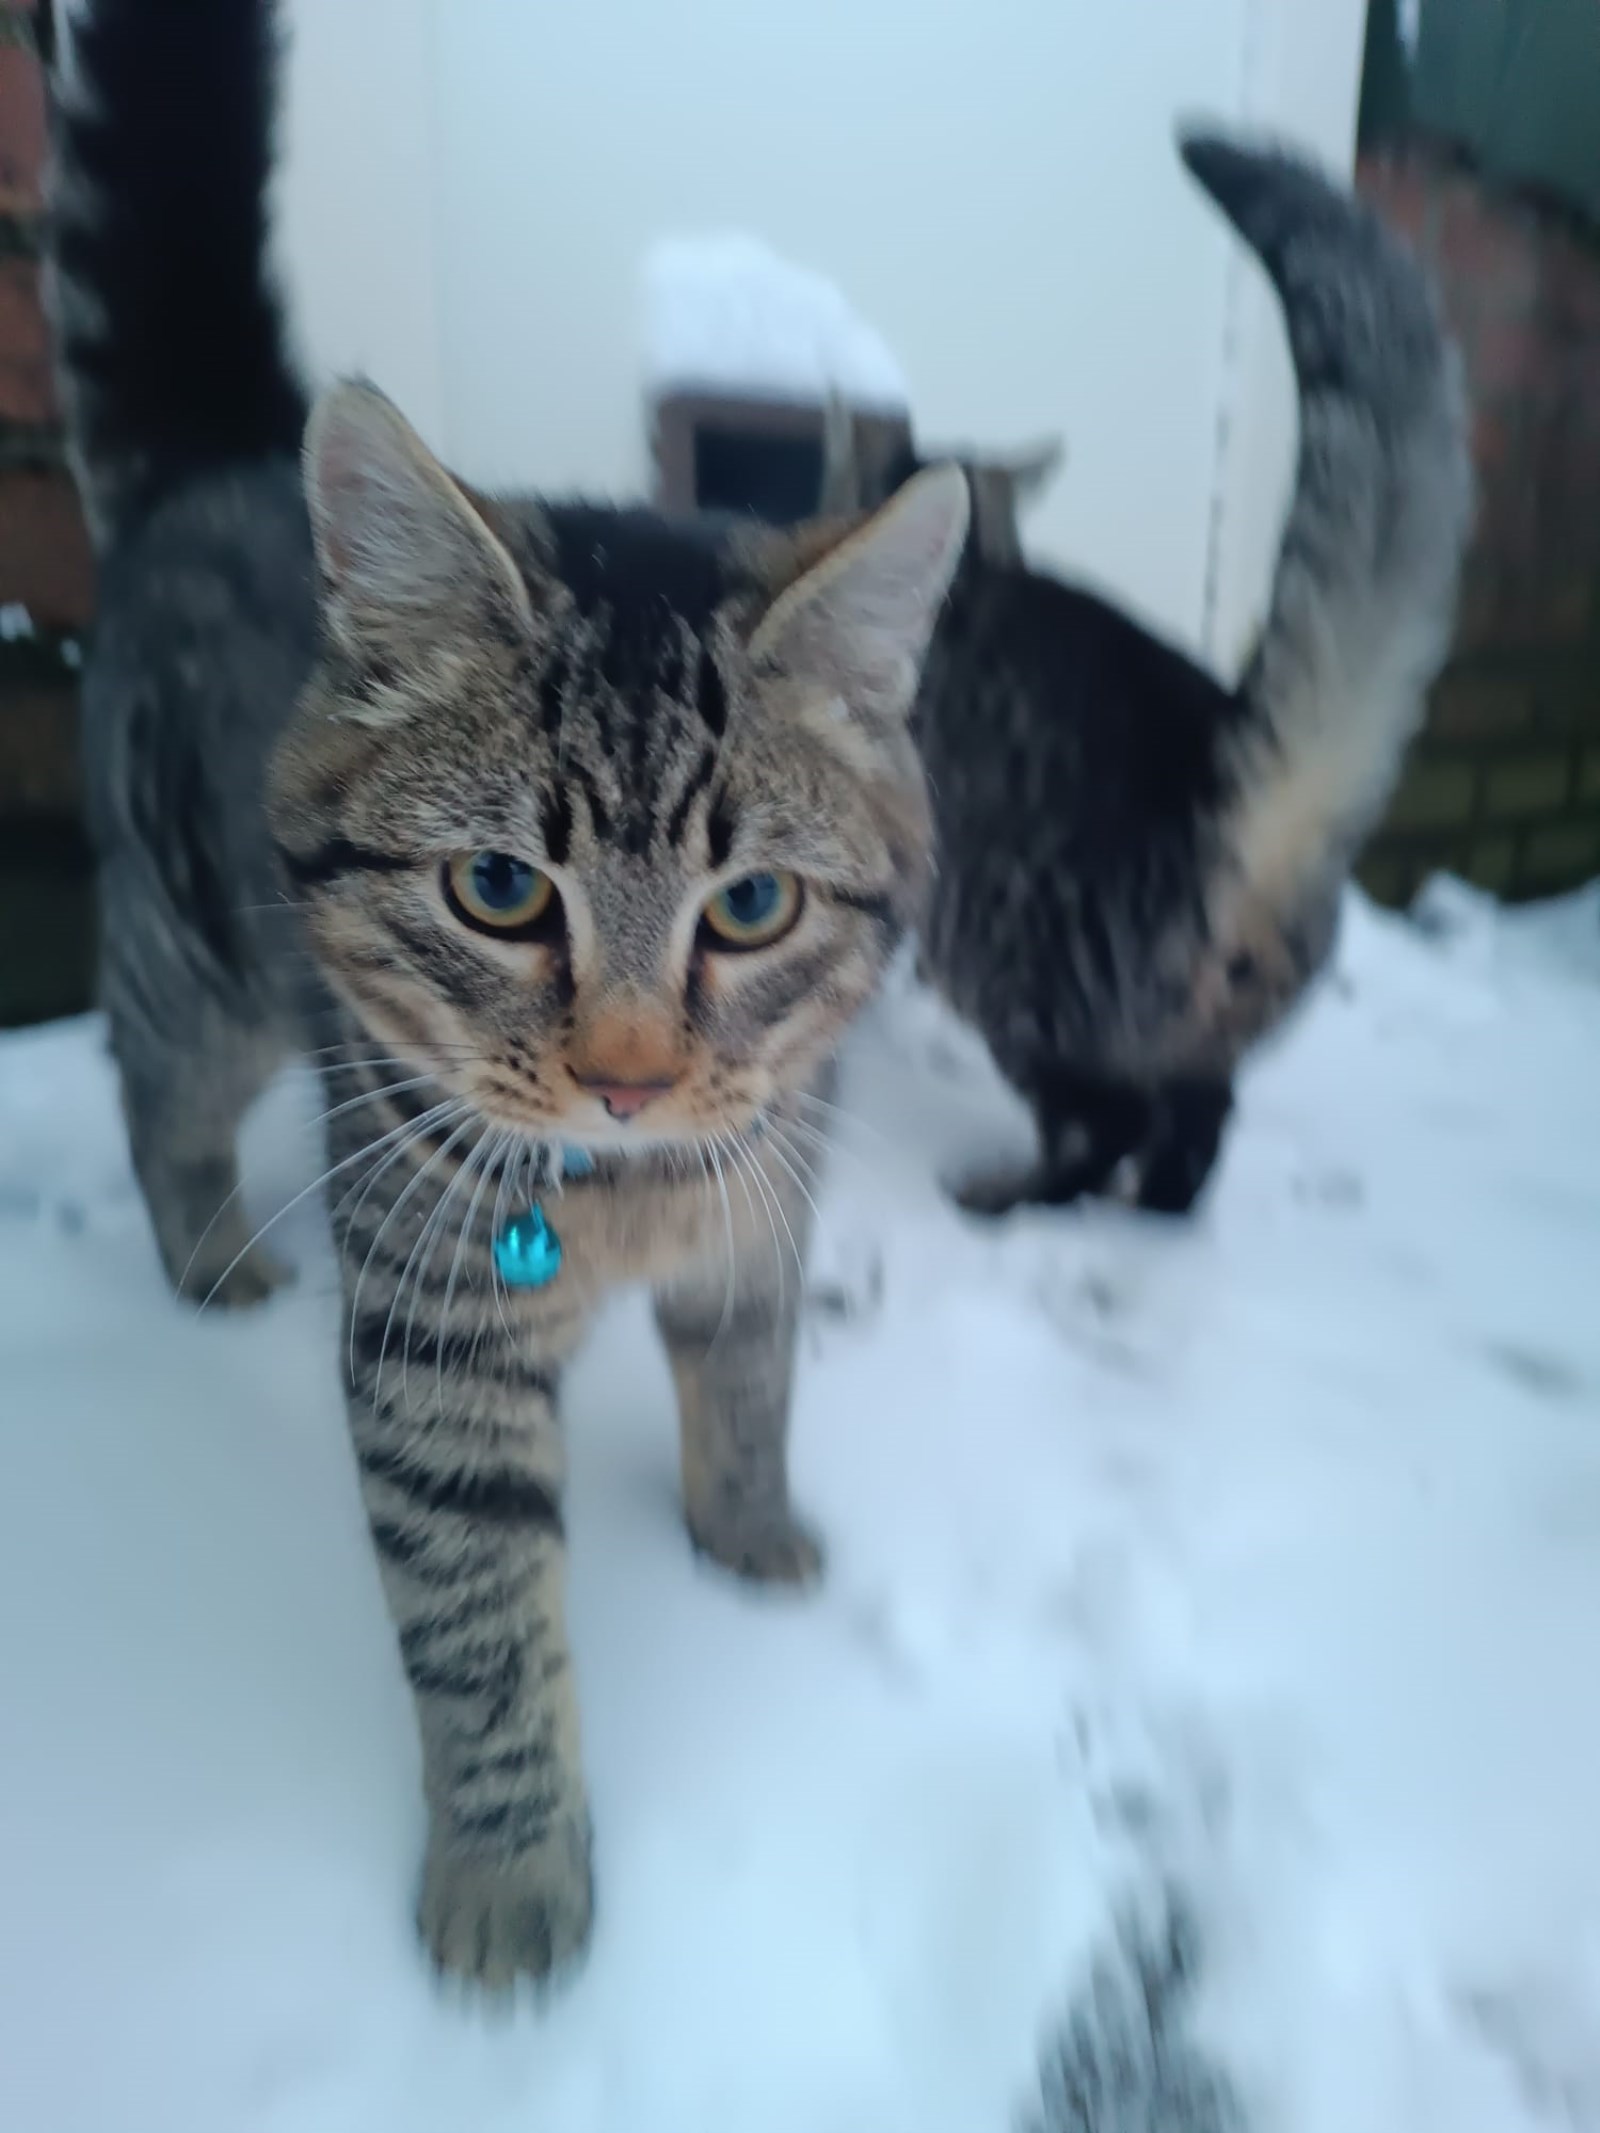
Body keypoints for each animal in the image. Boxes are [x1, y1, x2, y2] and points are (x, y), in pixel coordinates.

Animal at [49, 0, 967, 1988]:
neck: (622, 1201)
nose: (624, 1078)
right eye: (497, 889)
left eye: (751, 905)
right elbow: (479, 1622)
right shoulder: (432, 1337)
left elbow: (751, 1387)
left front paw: (750, 1532)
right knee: (147, 1065)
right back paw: (206, 1248)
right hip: (195, 952)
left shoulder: (764, 1209)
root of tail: (215, 456)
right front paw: (511, 1869)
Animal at [820, 132, 1472, 1217]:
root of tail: (1255, 807)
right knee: (1198, 1134)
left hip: (1012, 972)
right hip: (1202, 1042)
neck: (977, 566)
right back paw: (1155, 1205)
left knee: (1103, 1125)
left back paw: (1012, 1195)